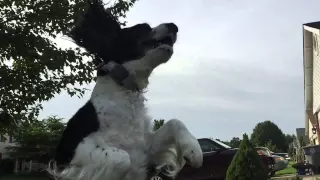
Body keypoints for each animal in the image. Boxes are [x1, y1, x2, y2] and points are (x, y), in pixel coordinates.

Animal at [49, 0, 202, 179]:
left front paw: (194, 150)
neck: (125, 92)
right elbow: (121, 158)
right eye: (142, 28)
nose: (174, 26)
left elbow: (175, 122)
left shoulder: (146, 148)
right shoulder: (75, 152)